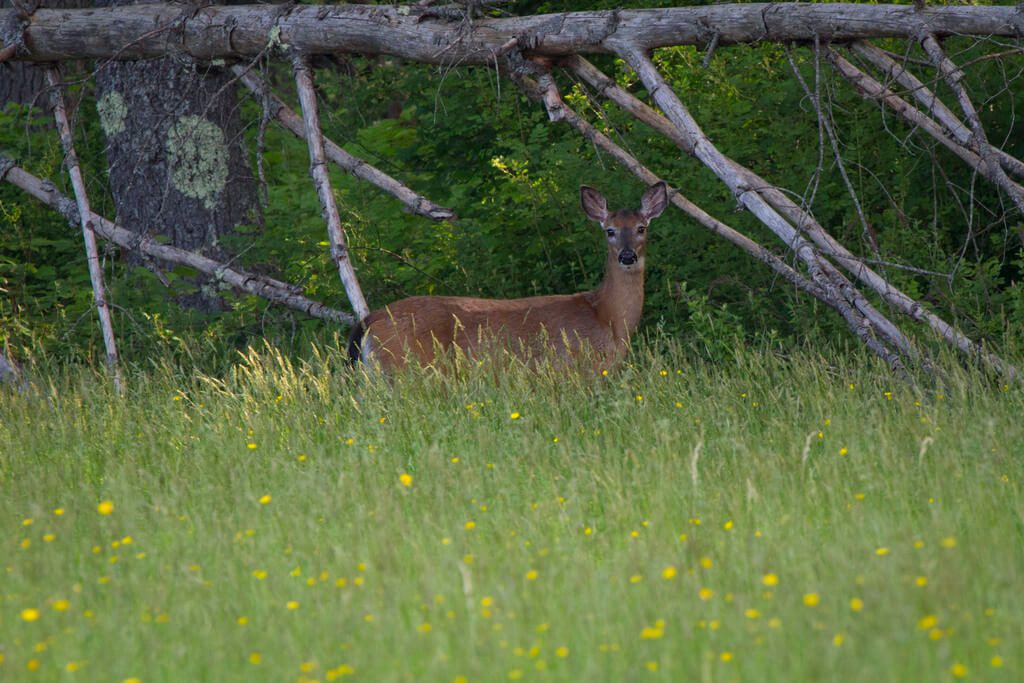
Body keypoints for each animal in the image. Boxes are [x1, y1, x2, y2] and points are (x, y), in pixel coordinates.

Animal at [350, 181, 671, 374]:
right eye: (610, 231)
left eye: (641, 228)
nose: (627, 256)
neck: (608, 318)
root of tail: (370, 320)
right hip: (407, 369)